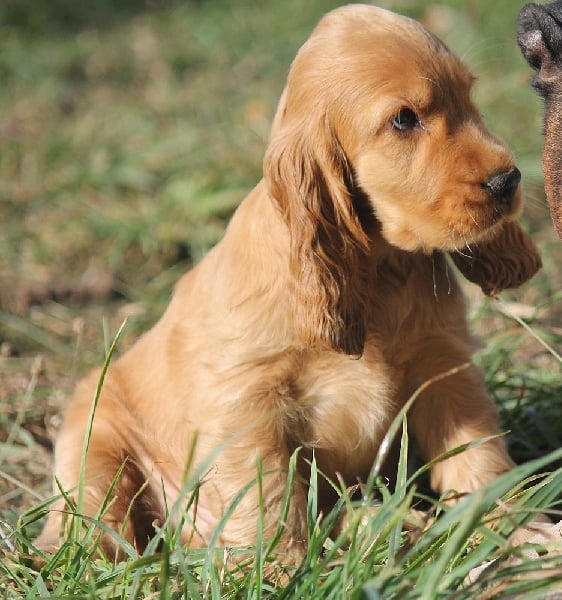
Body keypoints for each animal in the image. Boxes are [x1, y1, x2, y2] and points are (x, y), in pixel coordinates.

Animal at [34, 3, 540, 564]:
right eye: (404, 119)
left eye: (470, 98)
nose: (508, 180)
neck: (378, 270)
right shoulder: (249, 403)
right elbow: (268, 501)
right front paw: (283, 570)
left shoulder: (445, 367)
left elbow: (479, 459)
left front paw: (516, 531)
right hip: (96, 442)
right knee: (99, 521)